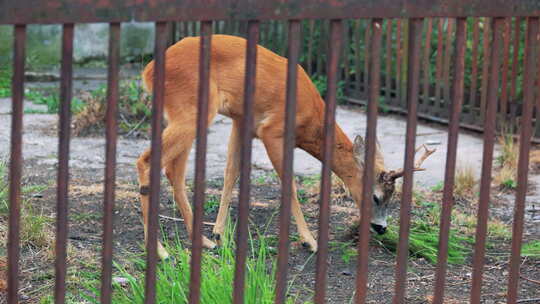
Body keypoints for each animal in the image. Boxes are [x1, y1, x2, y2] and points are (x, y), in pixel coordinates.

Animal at [137, 35, 436, 258]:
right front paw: (310, 241)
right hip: (191, 111)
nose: (382, 228)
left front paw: (219, 233)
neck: (311, 120)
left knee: (173, 171)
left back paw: (202, 241)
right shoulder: (272, 130)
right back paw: (161, 252)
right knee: (147, 161)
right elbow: (289, 184)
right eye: (376, 196)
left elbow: (231, 173)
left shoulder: (242, 121)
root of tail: (148, 71)